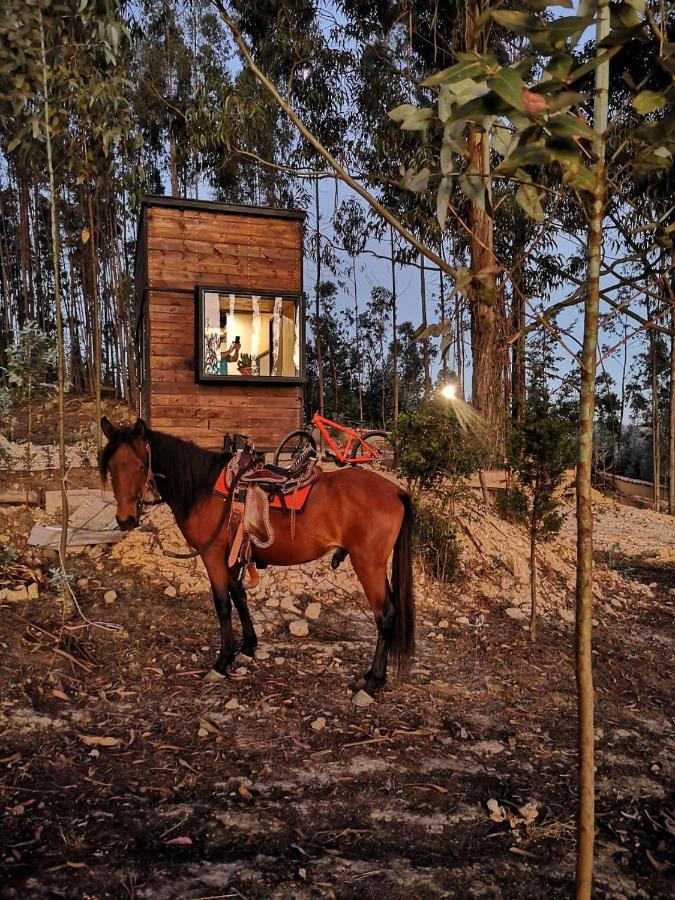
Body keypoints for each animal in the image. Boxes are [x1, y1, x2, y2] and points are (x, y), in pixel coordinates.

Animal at [100, 416, 414, 696]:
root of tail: (396, 491)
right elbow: (238, 596)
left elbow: (222, 604)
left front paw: (222, 661)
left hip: (368, 564)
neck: (203, 488)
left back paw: (372, 681)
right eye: (111, 467)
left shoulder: (213, 554)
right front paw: (247, 648)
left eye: (142, 465)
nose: (125, 519)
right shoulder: (232, 555)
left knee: (386, 614)